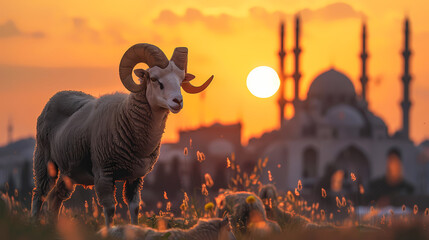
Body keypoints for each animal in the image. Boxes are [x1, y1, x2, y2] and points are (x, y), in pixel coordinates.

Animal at [29, 43, 213, 227]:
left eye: (181, 80)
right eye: (154, 79)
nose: (178, 102)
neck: (125, 118)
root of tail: (60, 93)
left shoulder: (136, 177)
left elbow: (134, 208)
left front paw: (135, 228)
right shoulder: (104, 173)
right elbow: (110, 209)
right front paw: (109, 230)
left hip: (69, 172)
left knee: (56, 198)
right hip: (44, 160)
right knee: (39, 195)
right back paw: (33, 223)